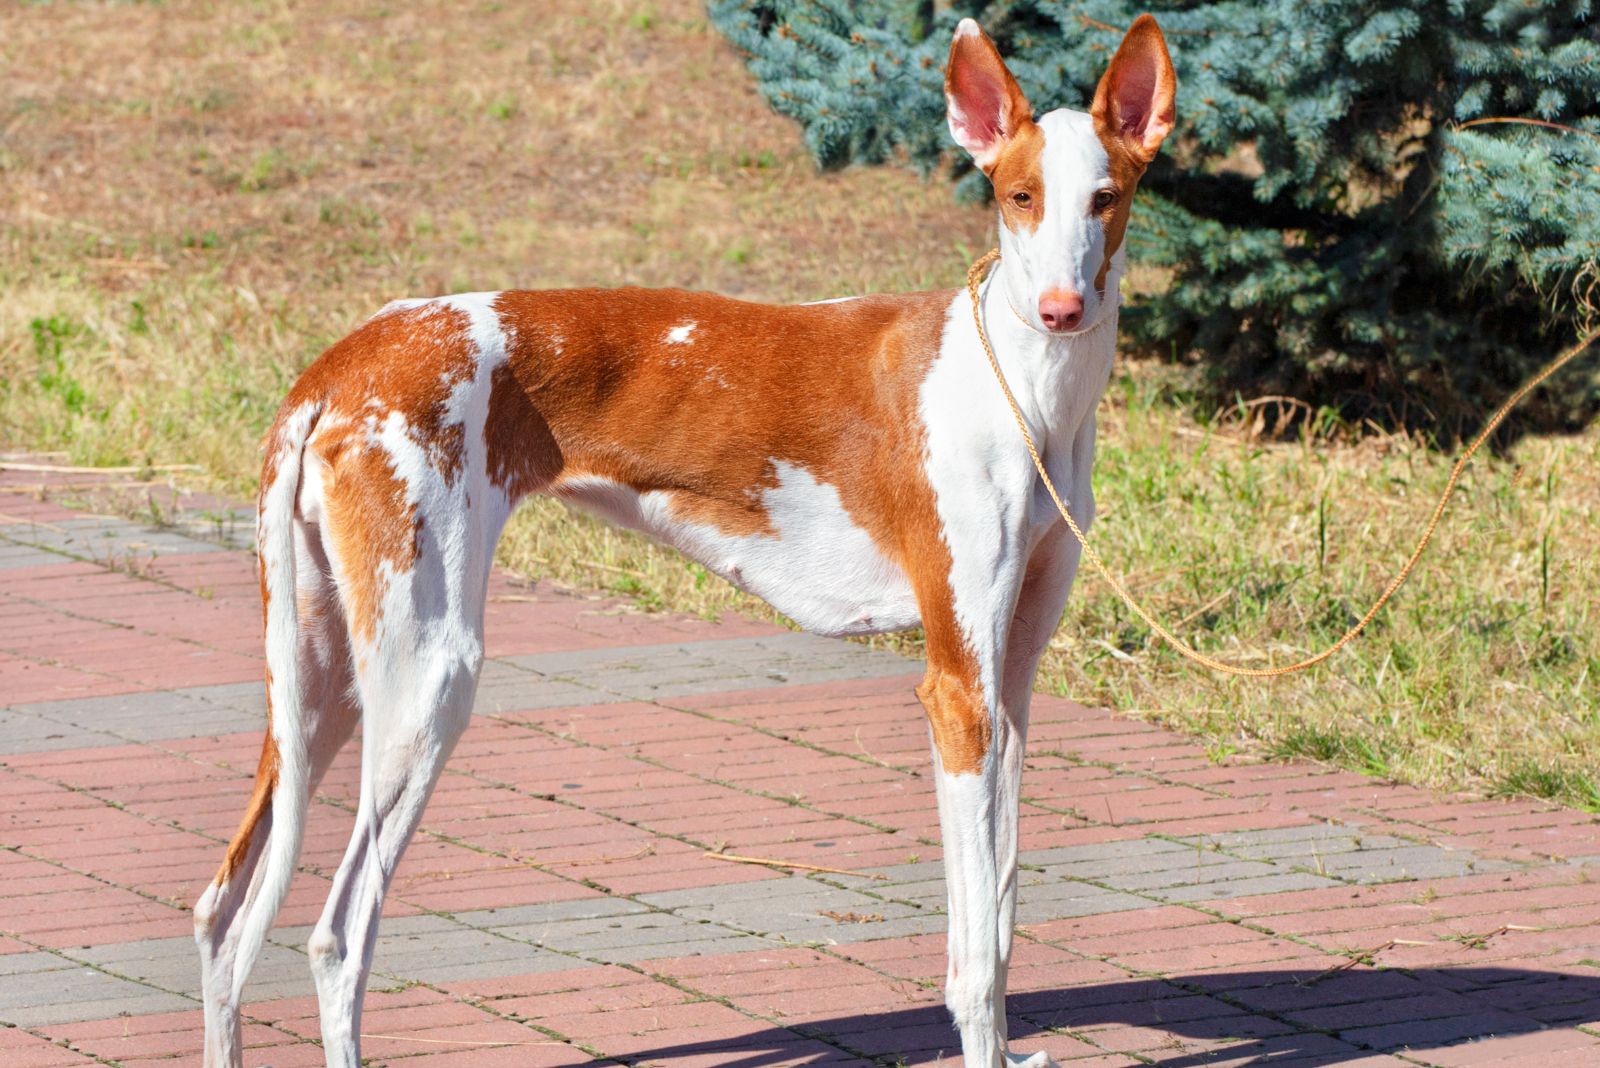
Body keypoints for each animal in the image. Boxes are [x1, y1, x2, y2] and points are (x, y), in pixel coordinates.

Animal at [196, 16, 1177, 1068]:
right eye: (1018, 197)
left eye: (1107, 198)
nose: (1063, 309)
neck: (1025, 388)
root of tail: (339, 366)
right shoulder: (957, 691)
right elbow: (975, 955)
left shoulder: (1011, 690)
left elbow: (999, 908)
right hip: (427, 677)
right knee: (337, 938)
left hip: (322, 682)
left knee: (221, 915)